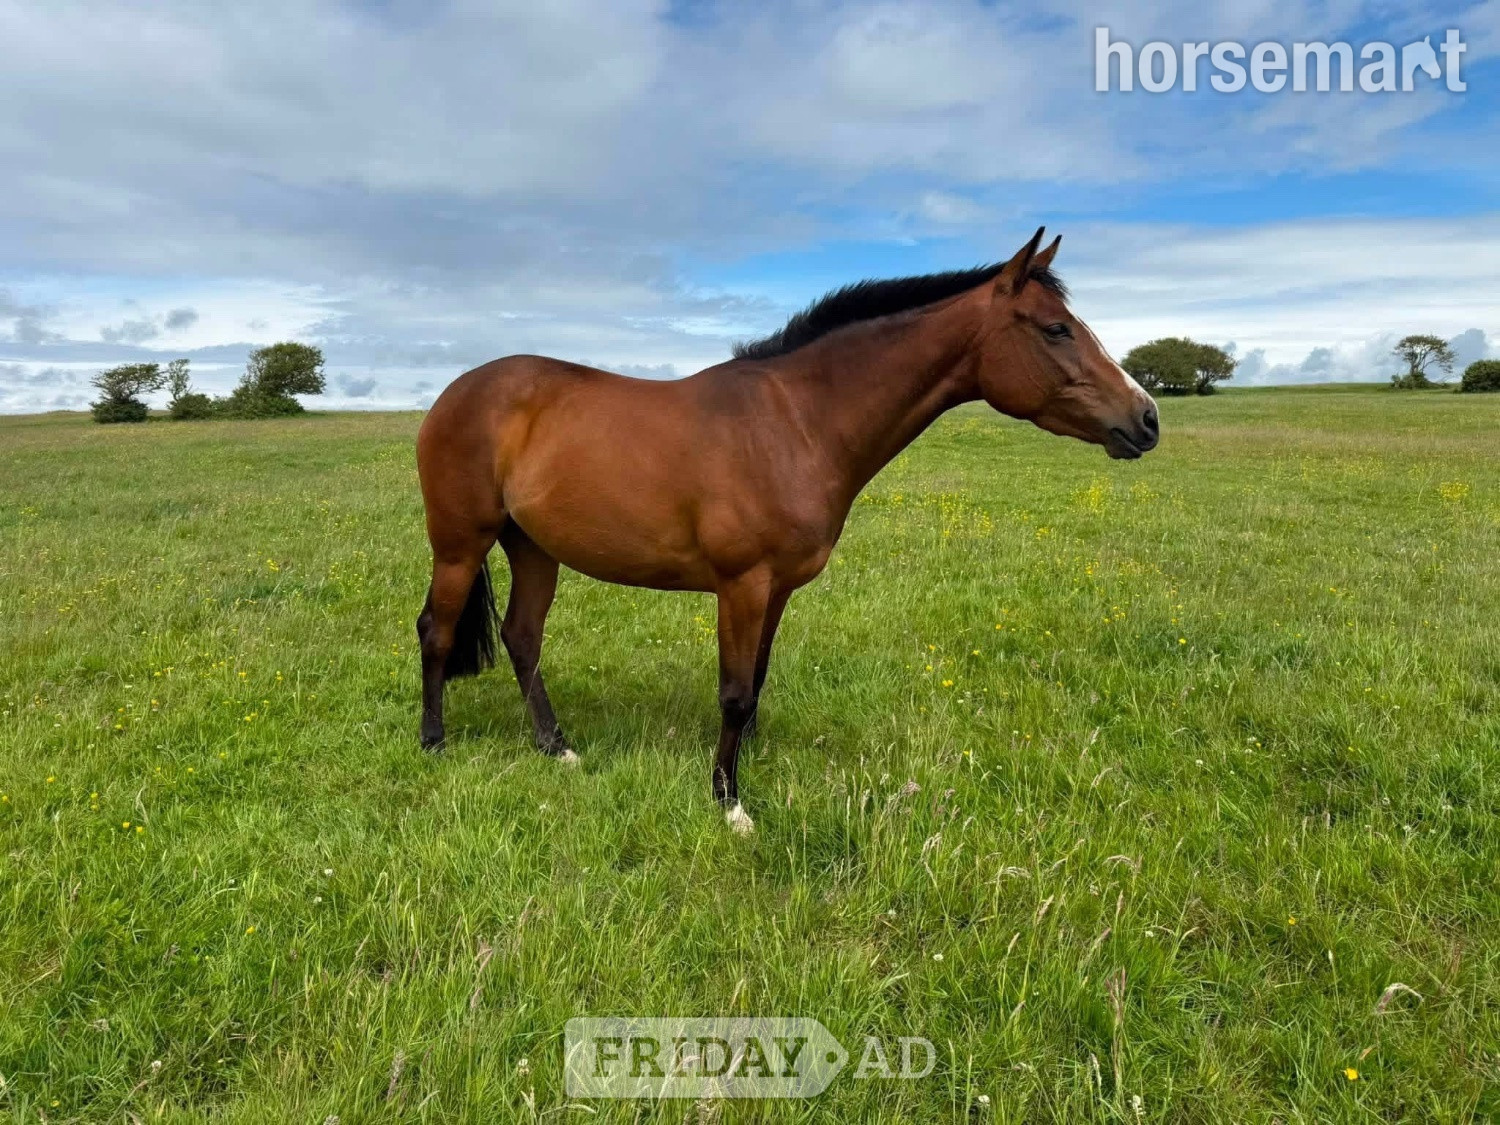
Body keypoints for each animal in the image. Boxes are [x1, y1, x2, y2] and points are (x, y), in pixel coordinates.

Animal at [415, 227, 1159, 834]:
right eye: (1056, 329)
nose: (1146, 418)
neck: (796, 423)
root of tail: (455, 392)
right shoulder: (741, 585)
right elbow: (734, 690)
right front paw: (728, 799)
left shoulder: (778, 590)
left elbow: (757, 682)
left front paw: (742, 766)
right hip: (460, 544)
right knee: (437, 630)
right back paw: (433, 741)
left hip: (534, 547)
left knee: (521, 636)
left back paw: (557, 746)